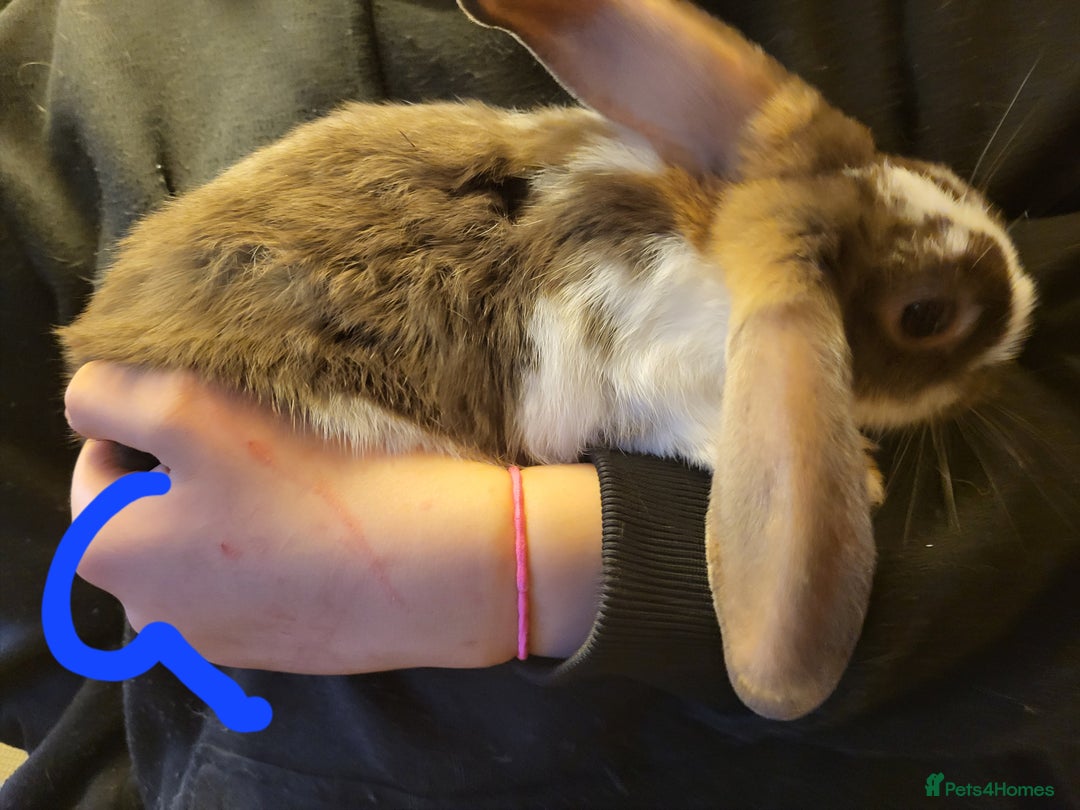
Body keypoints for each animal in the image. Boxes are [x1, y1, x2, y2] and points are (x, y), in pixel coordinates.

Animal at [57, 0, 1038, 721]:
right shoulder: (653, 384)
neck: (714, 261)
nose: (1026, 317)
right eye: (925, 315)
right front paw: (865, 475)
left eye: (942, 181)